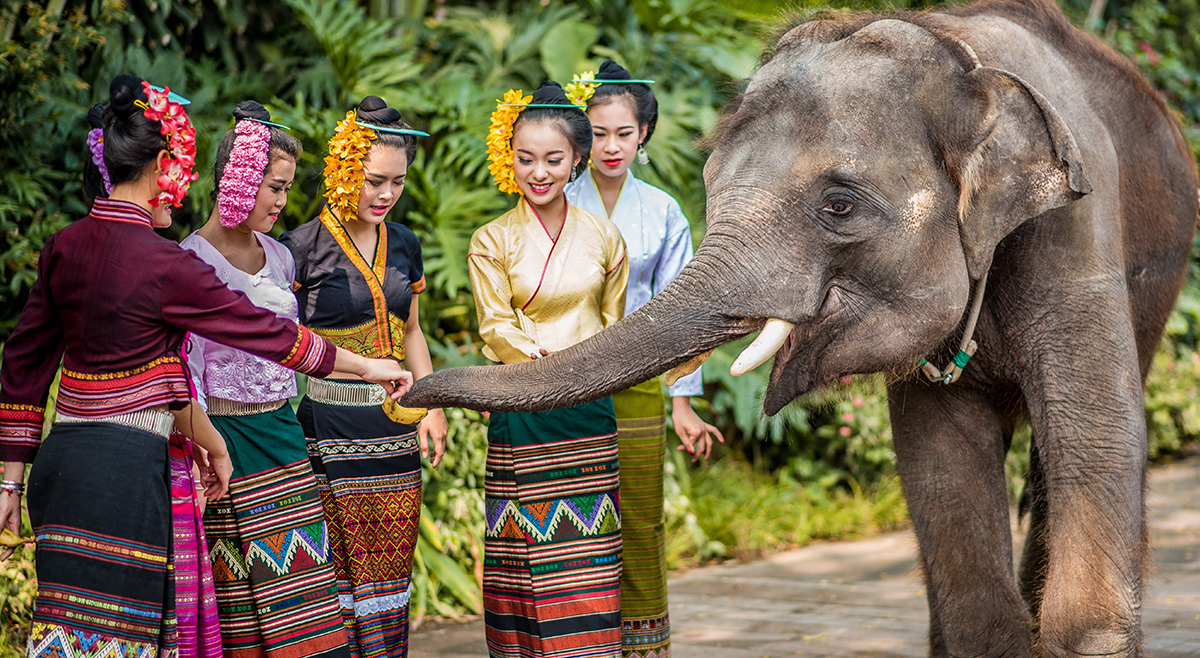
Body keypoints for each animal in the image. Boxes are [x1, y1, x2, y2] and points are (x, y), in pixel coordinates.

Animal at [405, 0, 1200, 653]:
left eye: (840, 205)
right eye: (709, 182)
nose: (408, 395)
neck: (954, 52)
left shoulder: (1077, 234)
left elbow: (1097, 441)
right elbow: (940, 463)